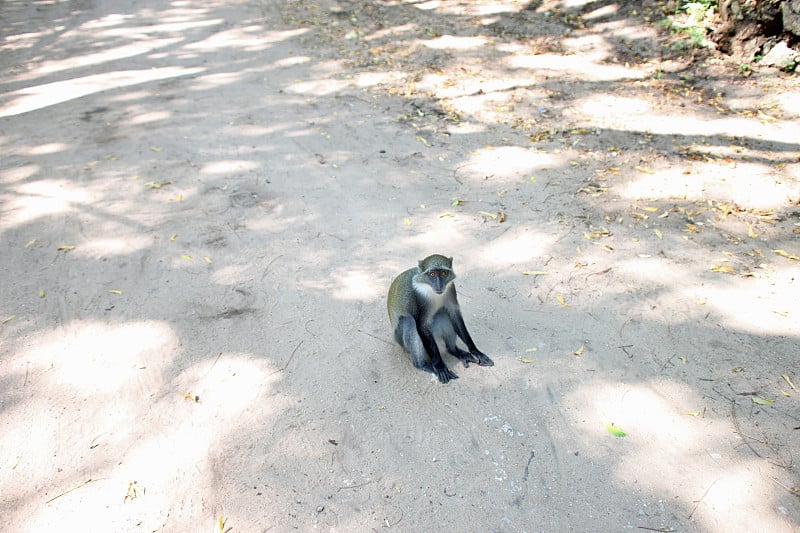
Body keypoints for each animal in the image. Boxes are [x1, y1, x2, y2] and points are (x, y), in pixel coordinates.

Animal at [388, 254, 494, 382]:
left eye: (443, 273)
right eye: (432, 274)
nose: (439, 285)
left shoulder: (451, 288)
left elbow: (455, 316)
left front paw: (476, 351)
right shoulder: (419, 298)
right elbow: (421, 325)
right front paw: (439, 366)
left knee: (443, 313)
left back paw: (454, 350)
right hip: (401, 340)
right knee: (408, 321)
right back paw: (422, 365)